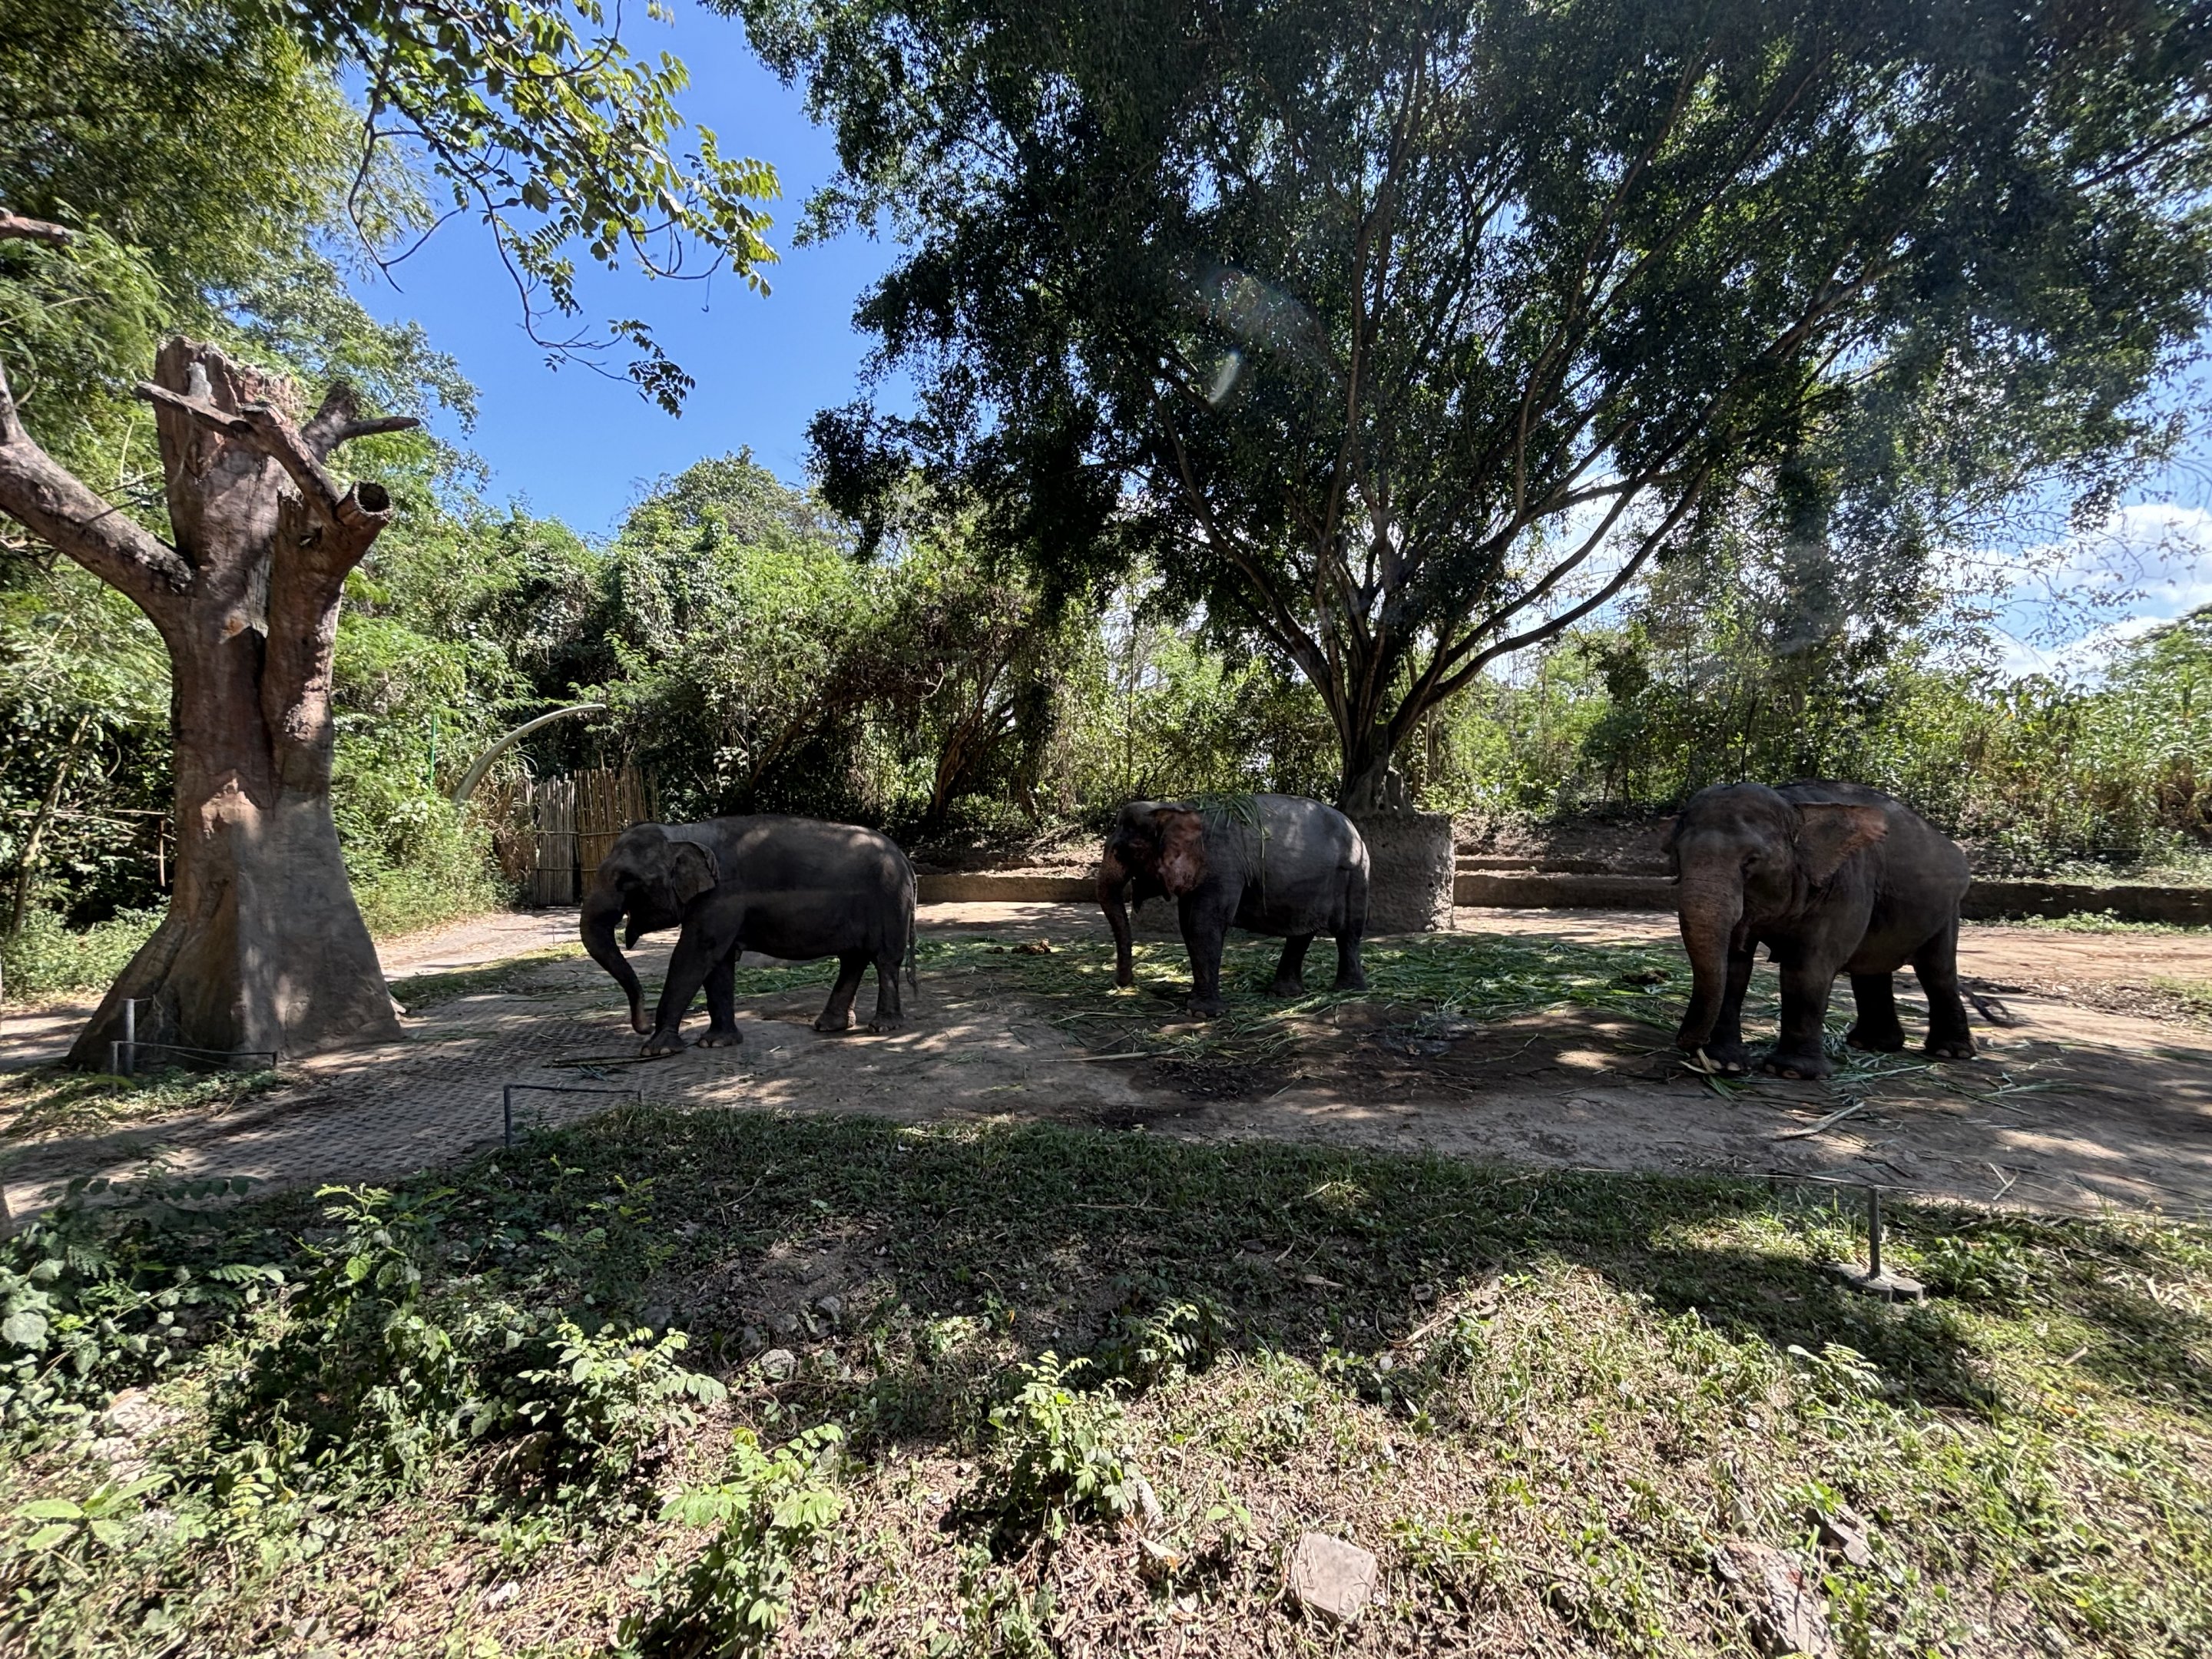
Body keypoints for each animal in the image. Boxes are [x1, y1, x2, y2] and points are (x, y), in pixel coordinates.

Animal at [580, 816, 916, 1056]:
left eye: (627, 880)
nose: (642, 1024)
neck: (685, 834)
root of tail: (905, 858)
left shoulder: (721, 897)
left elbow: (695, 954)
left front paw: (657, 1049)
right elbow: (719, 964)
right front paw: (716, 1043)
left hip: (889, 898)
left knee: (885, 959)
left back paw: (883, 1027)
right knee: (853, 959)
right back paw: (829, 1026)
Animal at [1098, 794, 1369, 1017]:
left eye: (1121, 852)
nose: (1123, 983)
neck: (1175, 808)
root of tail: (1356, 830)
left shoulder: (1222, 866)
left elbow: (1203, 924)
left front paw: (1202, 1013)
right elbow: (1187, 925)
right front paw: (1192, 1000)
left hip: (1355, 875)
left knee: (1348, 932)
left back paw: (1348, 991)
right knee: (1302, 933)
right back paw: (1284, 993)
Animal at [1670, 781, 1975, 1080]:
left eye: (1751, 861)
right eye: (1678, 856)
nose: (1685, 1043)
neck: (1793, 806)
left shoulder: (1844, 888)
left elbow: (1809, 968)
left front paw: (1791, 1071)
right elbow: (1734, 966)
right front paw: (1723, 1064)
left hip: (1948, 910)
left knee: (1937, 971)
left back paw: (1950, 1051)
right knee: (1871, 969)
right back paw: (1873, 1043)